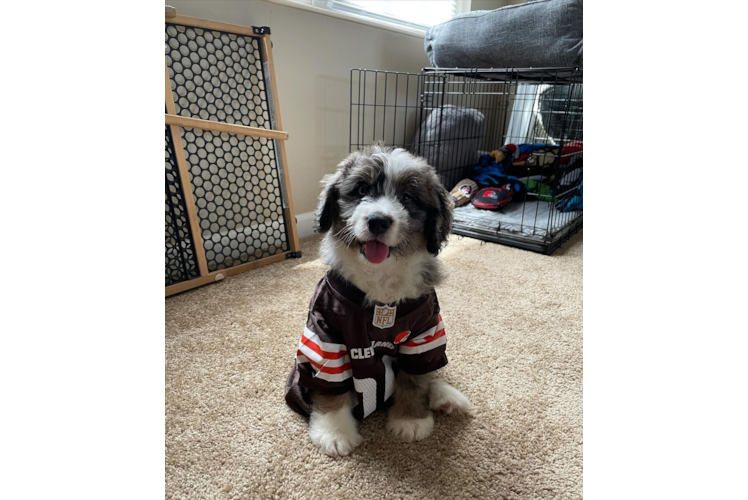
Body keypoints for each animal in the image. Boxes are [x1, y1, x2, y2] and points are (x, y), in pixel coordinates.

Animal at [284, 145, 470, 458]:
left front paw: (410, 420)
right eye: (361, 189)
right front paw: (334, 432)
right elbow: (331, 388)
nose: (378, 220)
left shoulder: (423, 335)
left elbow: (414, 379)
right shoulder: (326, 336)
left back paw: (446, 396)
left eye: (407, 198)